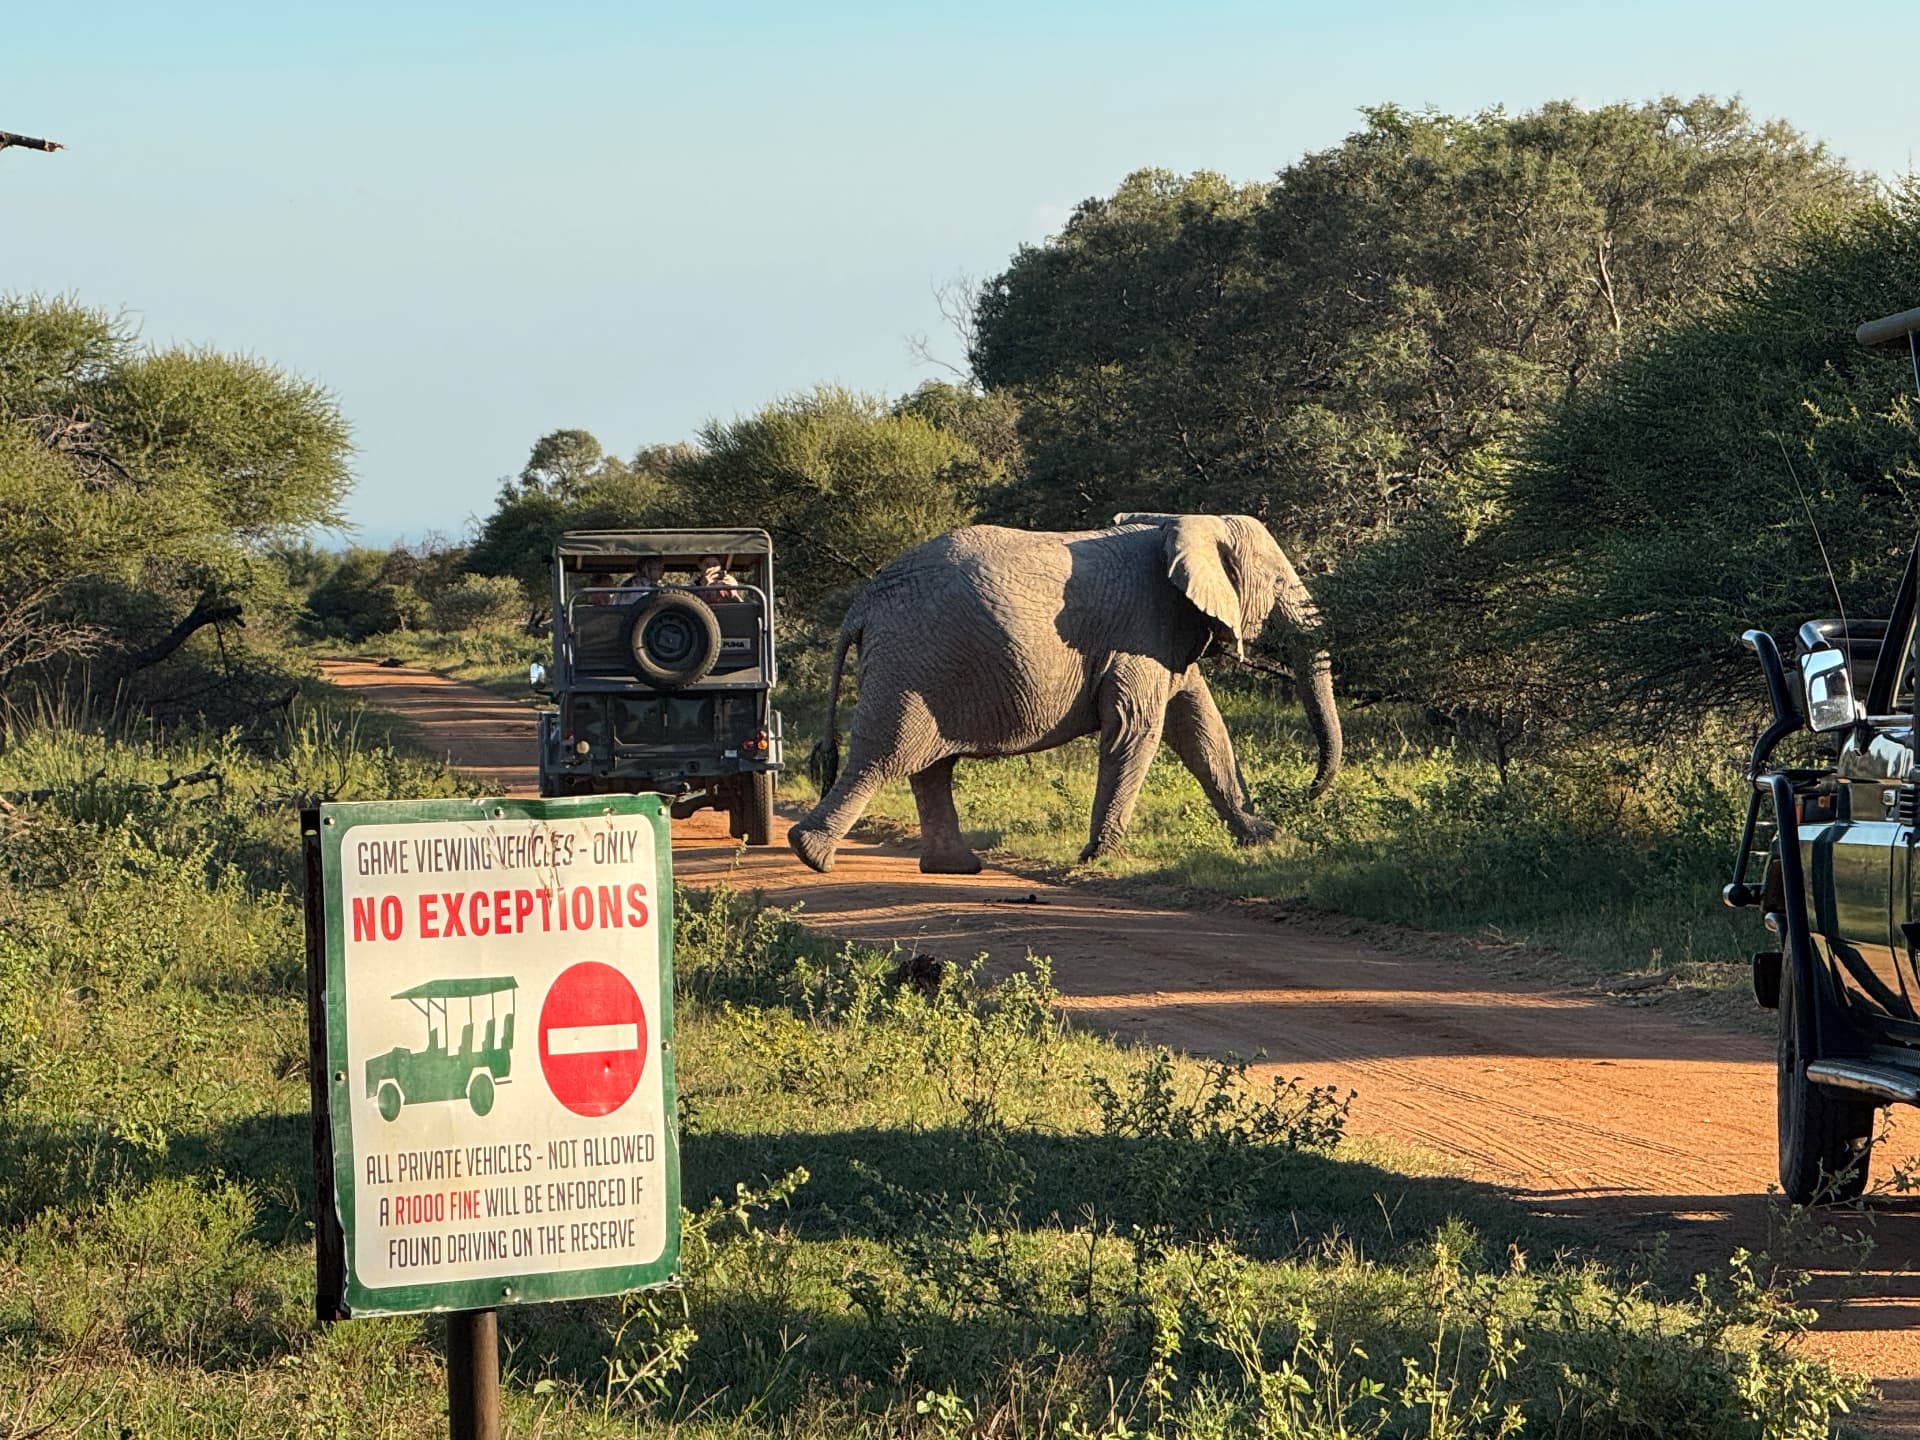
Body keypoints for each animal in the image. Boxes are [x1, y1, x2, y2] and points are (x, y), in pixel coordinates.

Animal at [787, 513, 1342, 875]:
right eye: (1278, 581)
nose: (1305, 793)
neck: (1179, 523)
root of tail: (862, 606)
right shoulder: (1139, 630)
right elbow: (1138, 727)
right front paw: (1105, 859)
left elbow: (1201, 727)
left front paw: (1265, 838)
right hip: (912, 660)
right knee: (884, 755)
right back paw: (811, 855)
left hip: (921, 665)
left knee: (929, 767)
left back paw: (957, 868)